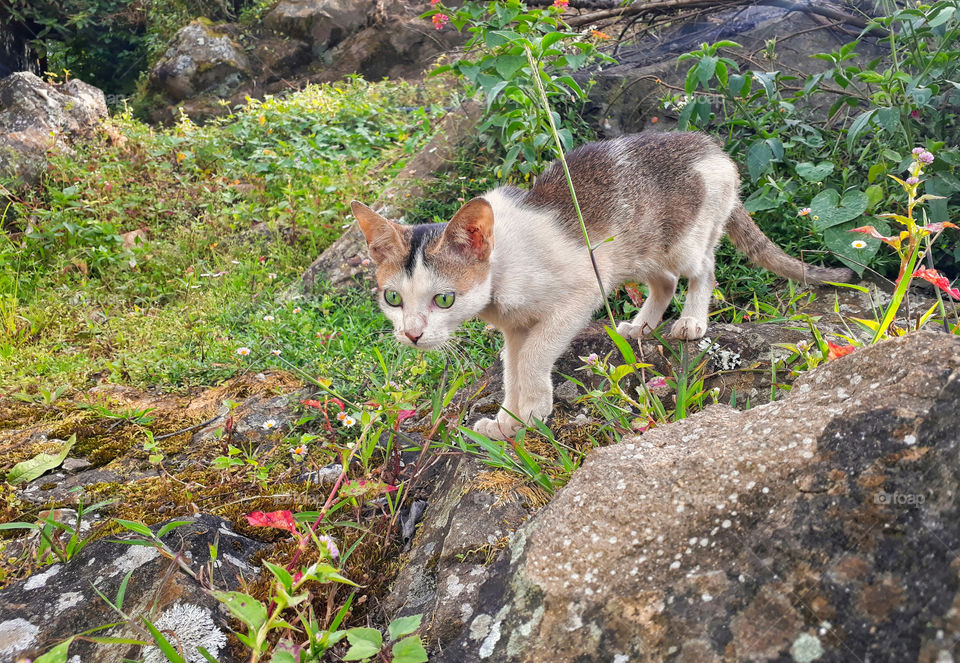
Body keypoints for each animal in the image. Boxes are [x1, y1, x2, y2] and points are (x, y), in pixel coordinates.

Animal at [350, 130, 848, 440]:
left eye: (443, 299)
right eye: (392, 298)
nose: (412, 334)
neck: (503, 268)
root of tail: (712, 147)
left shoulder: (580, 293)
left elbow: (533, 357)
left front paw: (533, 412)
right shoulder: (515, 327)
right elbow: (512, 366)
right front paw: (509, 420)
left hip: (682, 241)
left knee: (702, 270)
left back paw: (691, 321)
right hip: (636, 255)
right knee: (665, 282)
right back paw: (641, 326)